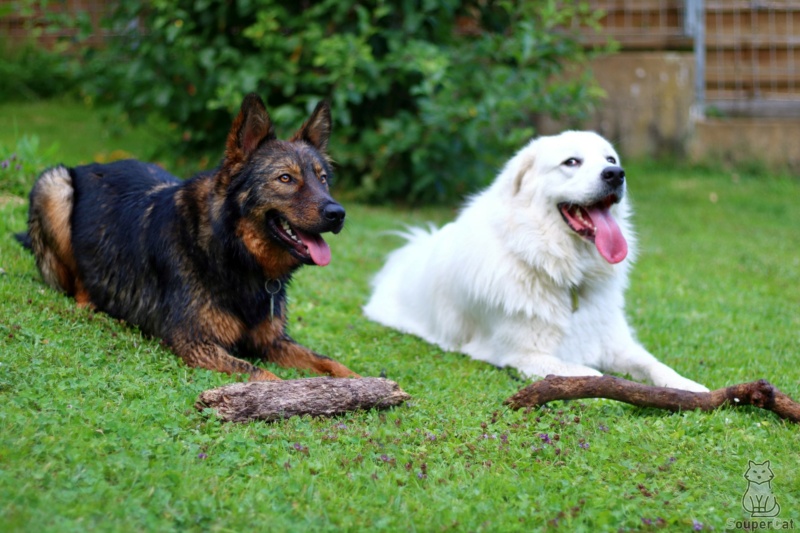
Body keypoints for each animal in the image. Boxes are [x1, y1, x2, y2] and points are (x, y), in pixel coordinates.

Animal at [16, 93, 360, 380]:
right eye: (285, 178)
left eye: (323, 179)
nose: (338, 213)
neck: (233, 251)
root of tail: (91, 165)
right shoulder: (194, 342)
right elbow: (265, 376)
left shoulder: (272, 341)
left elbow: (330, 361)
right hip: (54, 185)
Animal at [362, 130, 708, 388]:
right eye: (571, 162)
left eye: (610, 159)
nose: (616, 174)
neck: (561, 270)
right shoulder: (523, 354)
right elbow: (592, 375)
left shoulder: (616, 342)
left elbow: (655, 365)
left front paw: (689, 387)